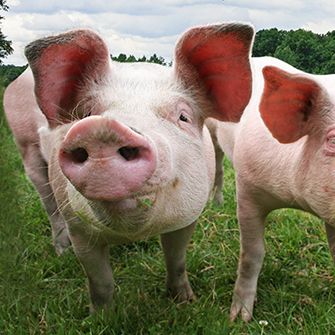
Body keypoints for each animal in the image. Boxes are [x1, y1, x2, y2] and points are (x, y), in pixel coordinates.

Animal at [3, 24, 255, 316]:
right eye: (86, 113)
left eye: (183, 116)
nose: (103, 130)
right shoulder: (79, 230)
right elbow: (100, 280)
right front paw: (100, 317)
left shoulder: (188, 217)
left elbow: (177, 259)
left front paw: (185, 301)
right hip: (27, 148)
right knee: (49, 204)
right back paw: (61, 252)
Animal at [214, 55, 335, 322]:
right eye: (333, 140)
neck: (293, 198)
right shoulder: (247, 190)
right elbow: (252, 254)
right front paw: (239, 318)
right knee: (217, 160)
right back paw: (216, 202)